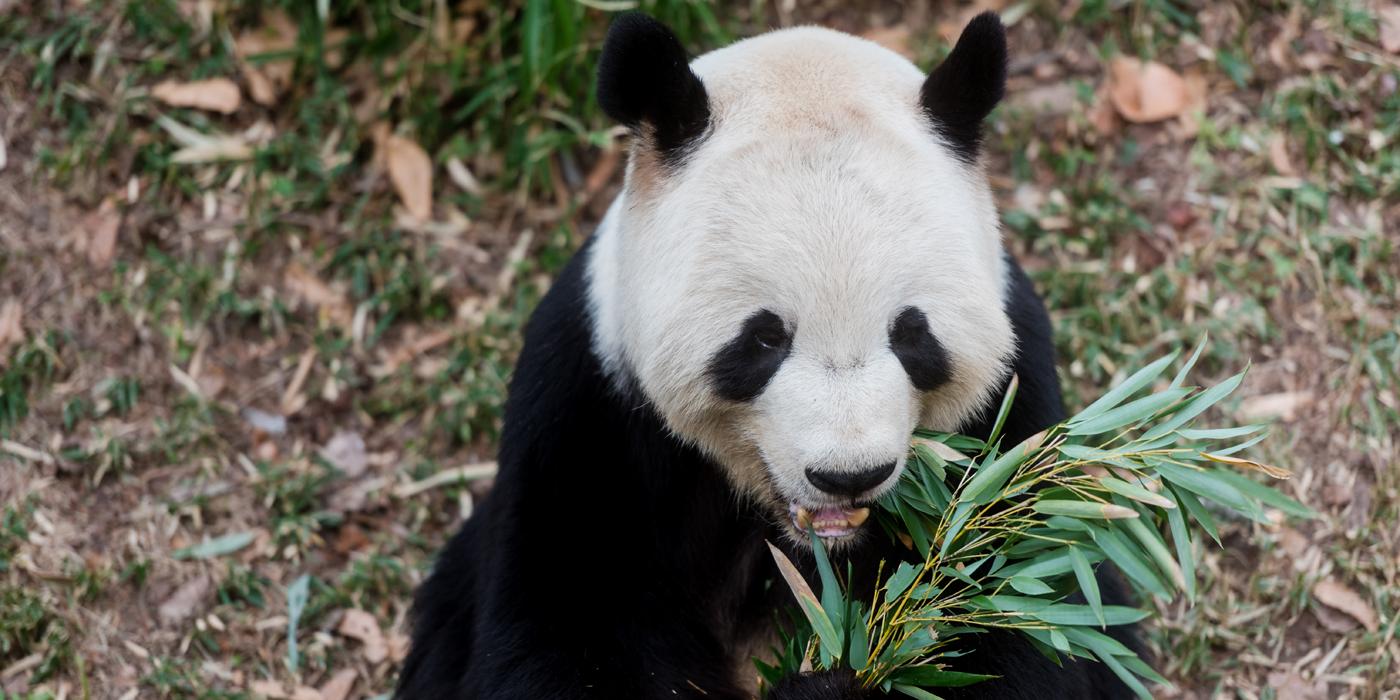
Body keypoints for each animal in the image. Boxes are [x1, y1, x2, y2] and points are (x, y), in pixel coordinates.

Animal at [400, 12, 1142, 700]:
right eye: (764, 339)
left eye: (912, 335)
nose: (848, 475)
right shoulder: (588, 407)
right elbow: (558, 636)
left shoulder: (1015, 414)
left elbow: (1020, 611)